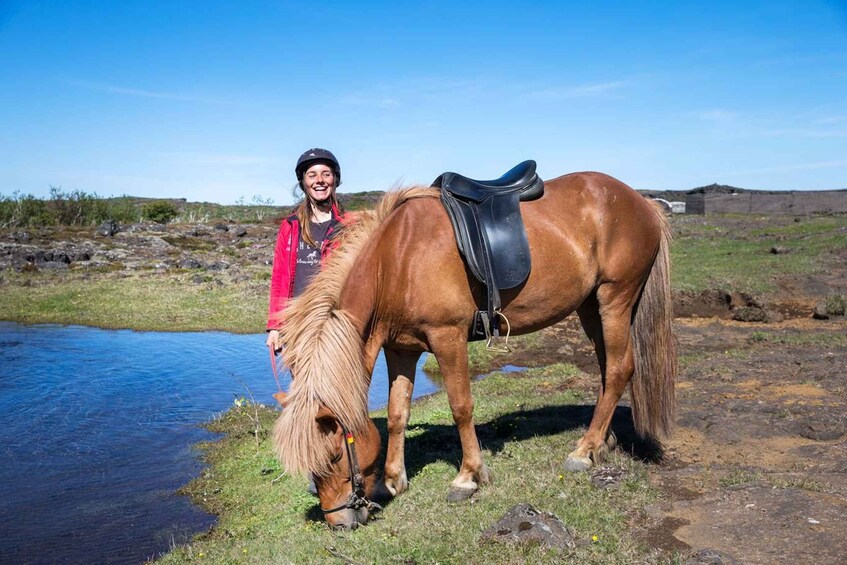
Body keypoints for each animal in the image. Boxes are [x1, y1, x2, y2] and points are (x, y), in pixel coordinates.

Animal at [274, 173, 680, 528]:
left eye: (335, 455)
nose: (338, 523)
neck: (397, 260)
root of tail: (641, 201)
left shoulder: (447, 338)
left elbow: (460, 406)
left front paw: (468, 476)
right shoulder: (401, 349)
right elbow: (396, 413)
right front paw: (393, 480)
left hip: (614, 299)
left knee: (619, 369)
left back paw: (584, 450)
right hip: (590, 307)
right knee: (608, 369)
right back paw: (601, 442)